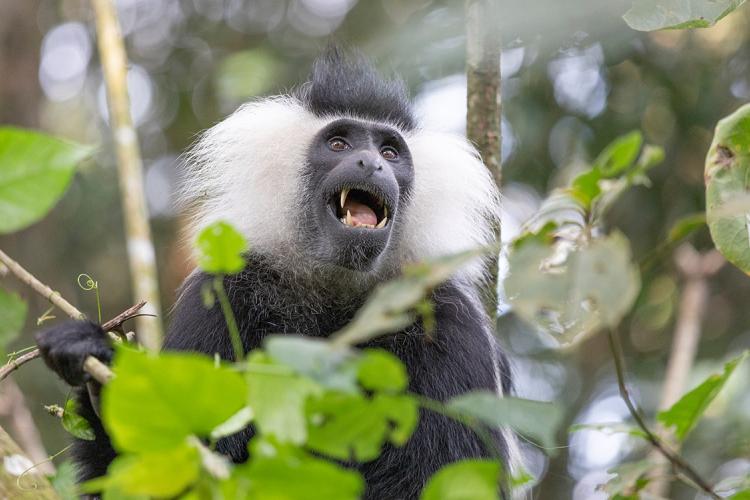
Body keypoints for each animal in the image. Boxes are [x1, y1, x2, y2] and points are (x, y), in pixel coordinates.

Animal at [35, 47, 516, 500]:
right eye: (339, 144)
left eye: (390, 152)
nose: (371, 164)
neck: (337, 292)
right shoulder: (222, 297)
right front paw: (98, 373)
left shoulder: (451, 325)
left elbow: (442, 476)